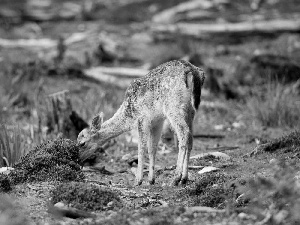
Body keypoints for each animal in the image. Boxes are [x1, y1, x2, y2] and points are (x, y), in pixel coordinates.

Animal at [77, 59, 206, 185]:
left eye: (82, 143)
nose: (77, 159)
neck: (128, 114)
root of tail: (193, 71)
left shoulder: (142, 118)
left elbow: (141, 148)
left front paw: (138, 180)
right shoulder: (157, 120)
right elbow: (152, 148)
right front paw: (151, 179)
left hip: (173, 106)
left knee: (184, 134)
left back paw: (176, 178)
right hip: (189, 111)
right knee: (190, 138)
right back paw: (184, 178)